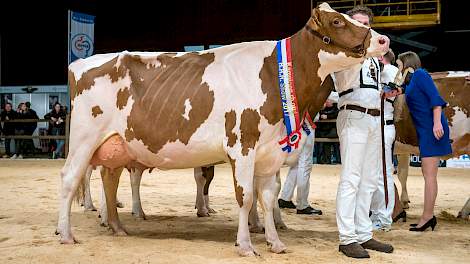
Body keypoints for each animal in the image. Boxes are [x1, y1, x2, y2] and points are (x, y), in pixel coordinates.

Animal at [56, 2, 390, 256]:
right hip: (85, 139)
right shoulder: (242, 147)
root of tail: (81, 63)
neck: (276, 74)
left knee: (109, 179)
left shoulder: (269, 153)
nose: (384, 40)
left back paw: (117, 226)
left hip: (116, 145)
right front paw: (245, 245)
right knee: (71, 179)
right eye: (337, 21)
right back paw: (66, 233)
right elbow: (246, 197)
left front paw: (275, 241)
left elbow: (268, 197)